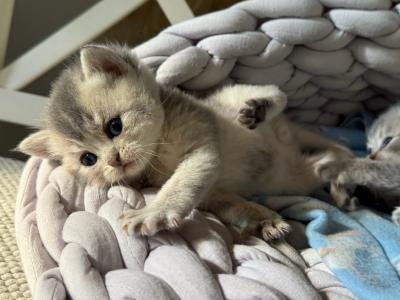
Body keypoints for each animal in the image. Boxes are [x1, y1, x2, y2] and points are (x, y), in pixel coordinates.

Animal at [18, 44, 352, 239]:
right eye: (88, 159)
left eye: (115, 126)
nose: (114, 160)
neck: (158, 153)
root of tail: (288, 136)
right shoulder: (213, 193)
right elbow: (232, 204)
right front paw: (263, 219)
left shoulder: (203, 144)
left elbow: (180, 184)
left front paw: (153, 212)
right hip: (295, 178)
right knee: (324, 164)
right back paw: (336, 175)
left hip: (236, 96)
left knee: (276, 93)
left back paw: (260, 109)